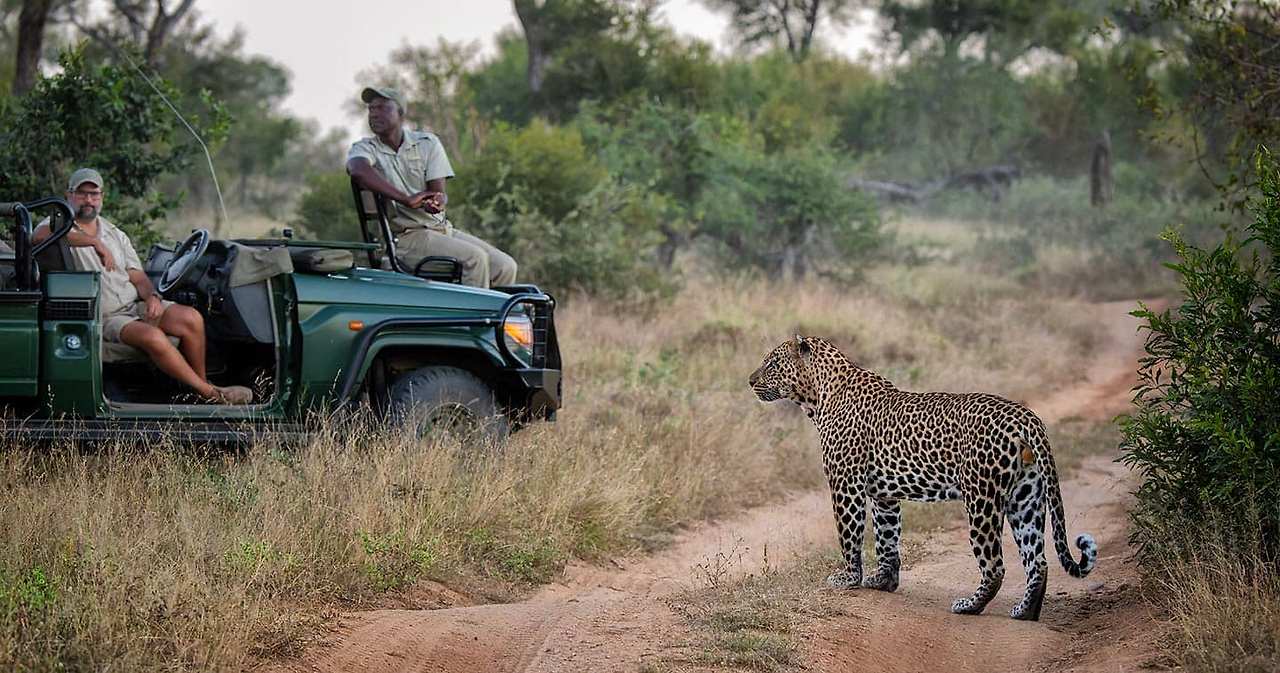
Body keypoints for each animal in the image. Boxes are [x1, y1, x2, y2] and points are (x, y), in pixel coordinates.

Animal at [749, 335, 1097, 621]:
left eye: (772, 363)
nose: (750, 380)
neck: (818, 395)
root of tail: (1025, 416)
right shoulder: (884, 494)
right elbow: (887, 537)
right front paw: (883, 581)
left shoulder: (845, 483)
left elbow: (849, 534)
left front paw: (848, 578)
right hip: (1026, 496)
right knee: (1037, 560)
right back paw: (1025, 612)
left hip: (981, 498)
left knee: (995, 565)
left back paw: (970, 606)